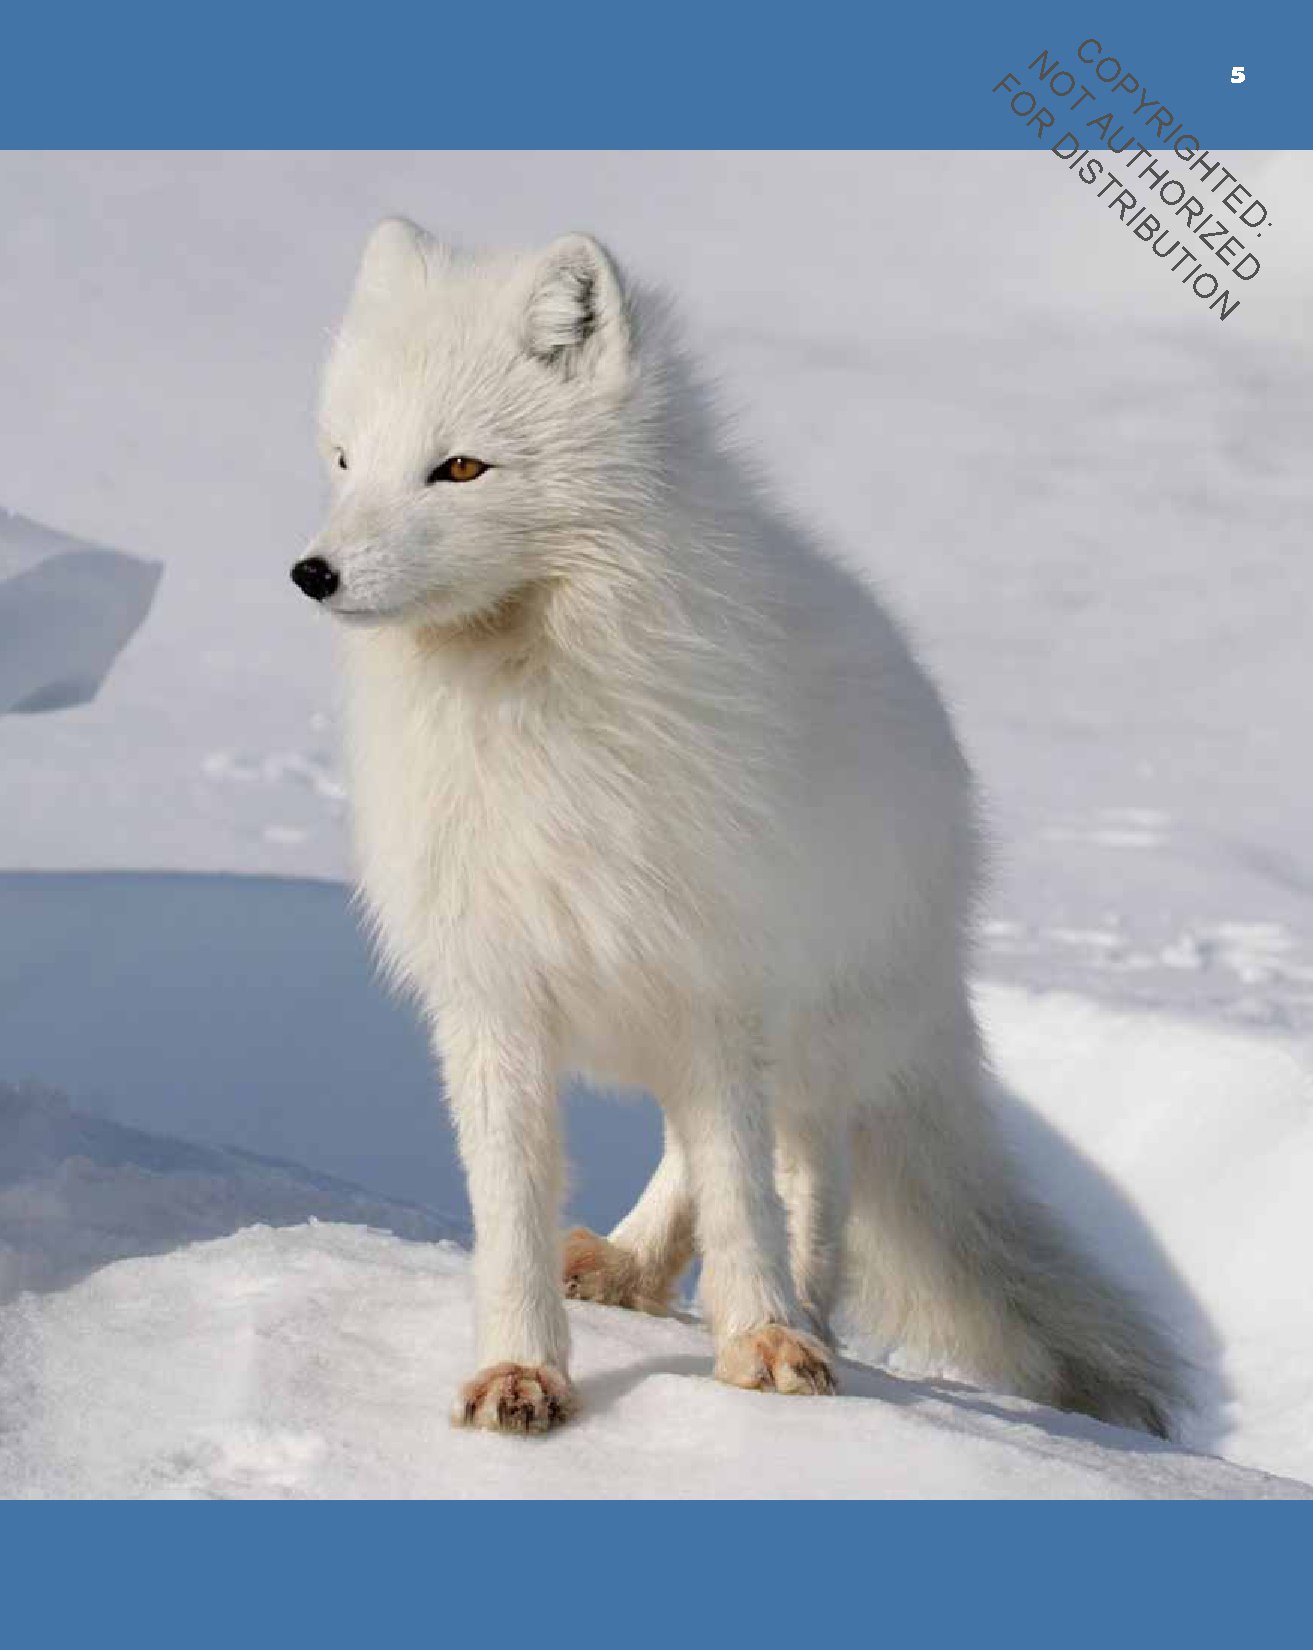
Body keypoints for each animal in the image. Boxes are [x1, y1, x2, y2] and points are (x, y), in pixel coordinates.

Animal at [293, 217, 1186, 1438]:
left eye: (459, 468)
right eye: (346, 461)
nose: (313, 573)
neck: (535, 710)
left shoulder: (712, 977)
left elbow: (743, 1191)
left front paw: (761, 1338)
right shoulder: (496, 990)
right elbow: (513, 1210)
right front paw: (521, 1371)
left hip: (815, 1024)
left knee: (806, 1175)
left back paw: (801, 1317)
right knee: (693, 1152)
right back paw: (625, 1264)